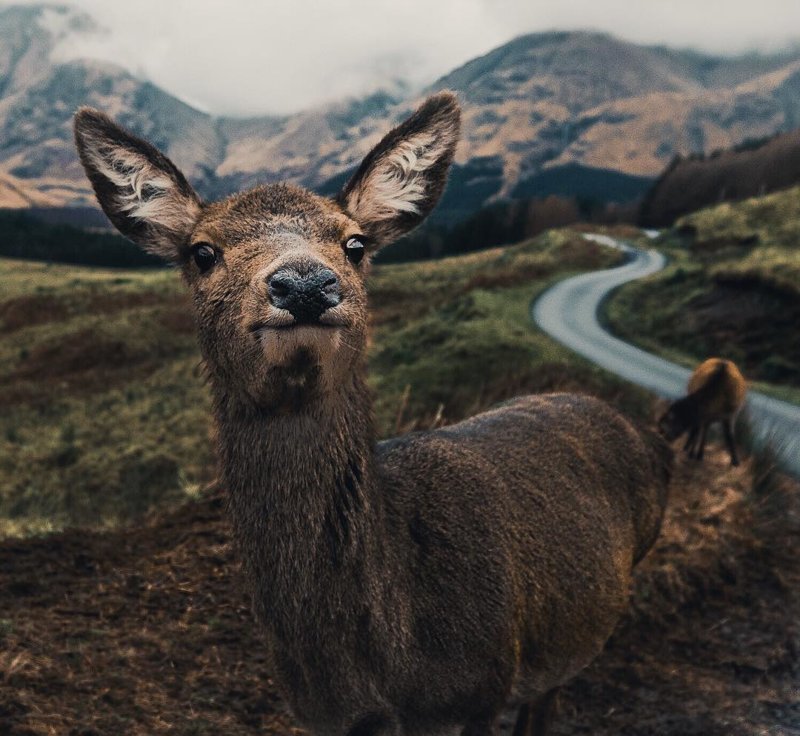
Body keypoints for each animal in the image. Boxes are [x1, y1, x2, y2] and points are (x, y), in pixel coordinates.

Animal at [73, 93, 676, 736]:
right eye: (202, 252)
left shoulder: (483, 687)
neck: (389, 660)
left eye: (355, 244)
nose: (305, 284)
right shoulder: (326, 717)